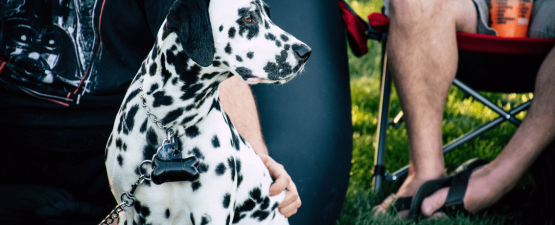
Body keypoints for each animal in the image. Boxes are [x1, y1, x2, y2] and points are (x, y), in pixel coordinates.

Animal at [105, 0, 312, 223]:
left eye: (268, 14)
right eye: (248, 18)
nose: (306, 52)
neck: (170, 122)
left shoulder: (211, 213)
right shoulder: (128, 212)